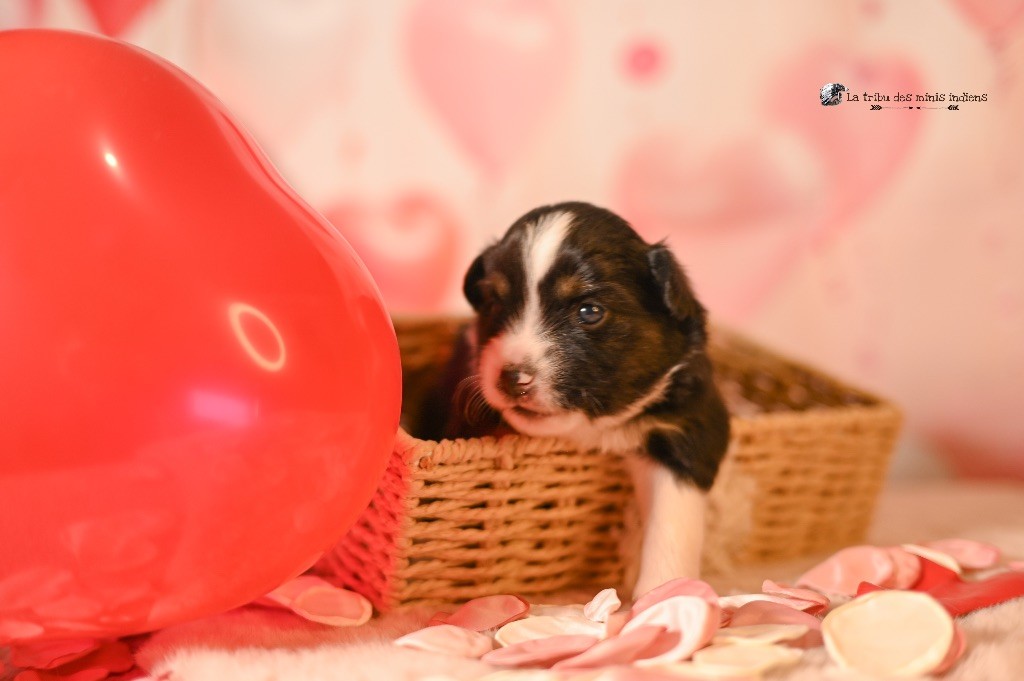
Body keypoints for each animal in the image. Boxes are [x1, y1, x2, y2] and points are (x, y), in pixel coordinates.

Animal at [429, 201, 730, 598]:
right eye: (494, 302)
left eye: (589, 311)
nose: (511, 378)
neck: (591, 428)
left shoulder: (688, 427)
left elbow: (671, 521)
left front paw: (664, 596)